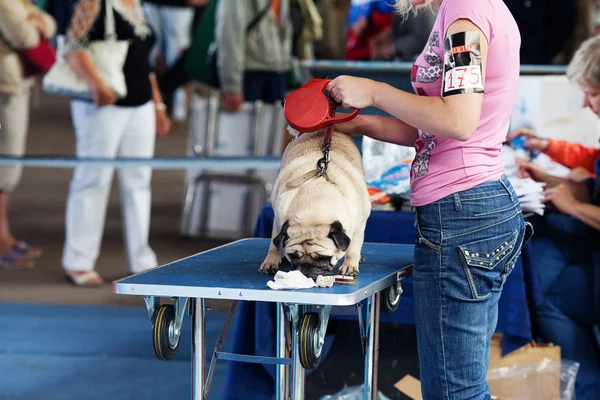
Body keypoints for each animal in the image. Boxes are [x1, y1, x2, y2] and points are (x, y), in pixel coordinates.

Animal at [262, 128, 372, 278]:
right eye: (293, 256)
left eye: (322, 258)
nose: (304, 269)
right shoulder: (278, 222)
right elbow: (274, 246)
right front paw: (271, 262)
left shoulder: (359, 225)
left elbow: (352, 248)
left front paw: (349, 265)